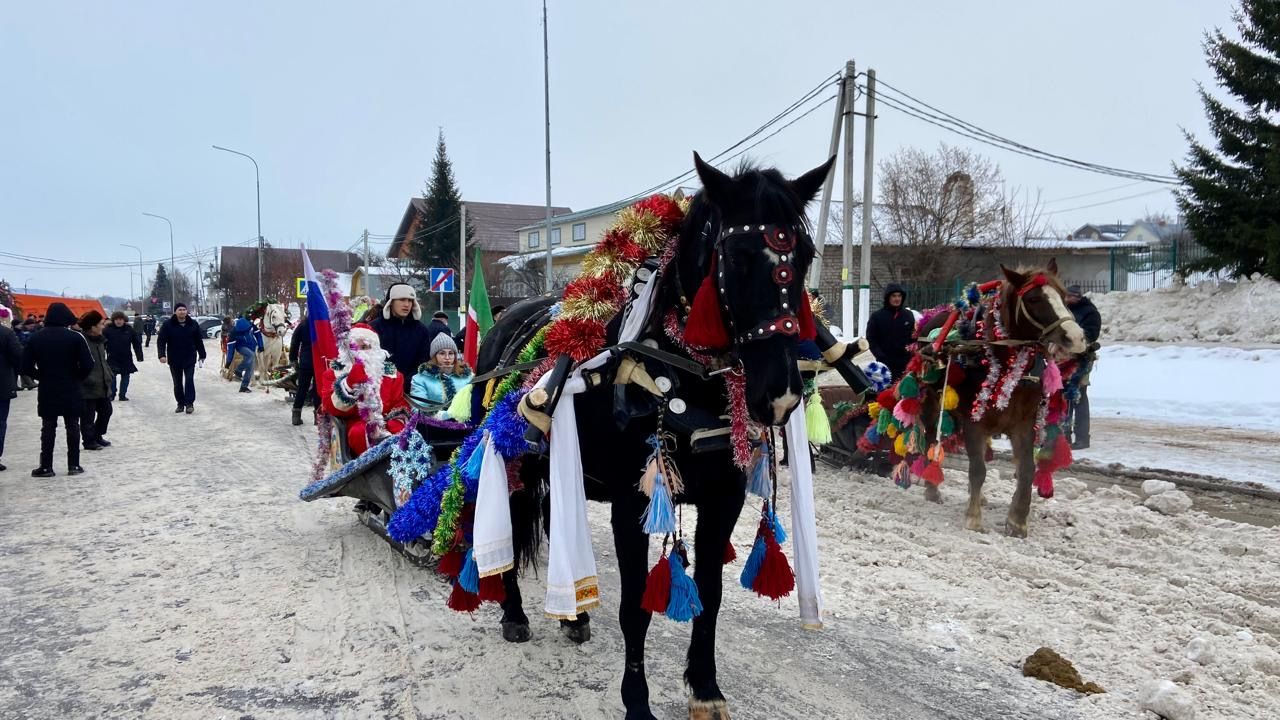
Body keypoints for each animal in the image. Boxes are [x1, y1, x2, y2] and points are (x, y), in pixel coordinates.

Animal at [476, 152, 834, 717]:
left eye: (803, 254)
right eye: (736, 255)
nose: (778, 393)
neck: (678, 373)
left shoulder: (724, 499)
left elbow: (710, 594)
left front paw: (706, 690)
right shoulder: (633, 502)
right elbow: (634, 607)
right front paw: (637, 701)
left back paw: (574, 618)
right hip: (518, 461)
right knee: (510, 522)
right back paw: (514, 614)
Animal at [916, 260, 1085, 535]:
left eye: (1063, 295)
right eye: (1034, 298)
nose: (1076, 336)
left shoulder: (1023, 423)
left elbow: (1026, 470)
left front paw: (1017, 521)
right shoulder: (974, 421)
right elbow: (977, 469)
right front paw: (973, 518)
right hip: (931, 401)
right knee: (932, 438)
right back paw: (932, 489)